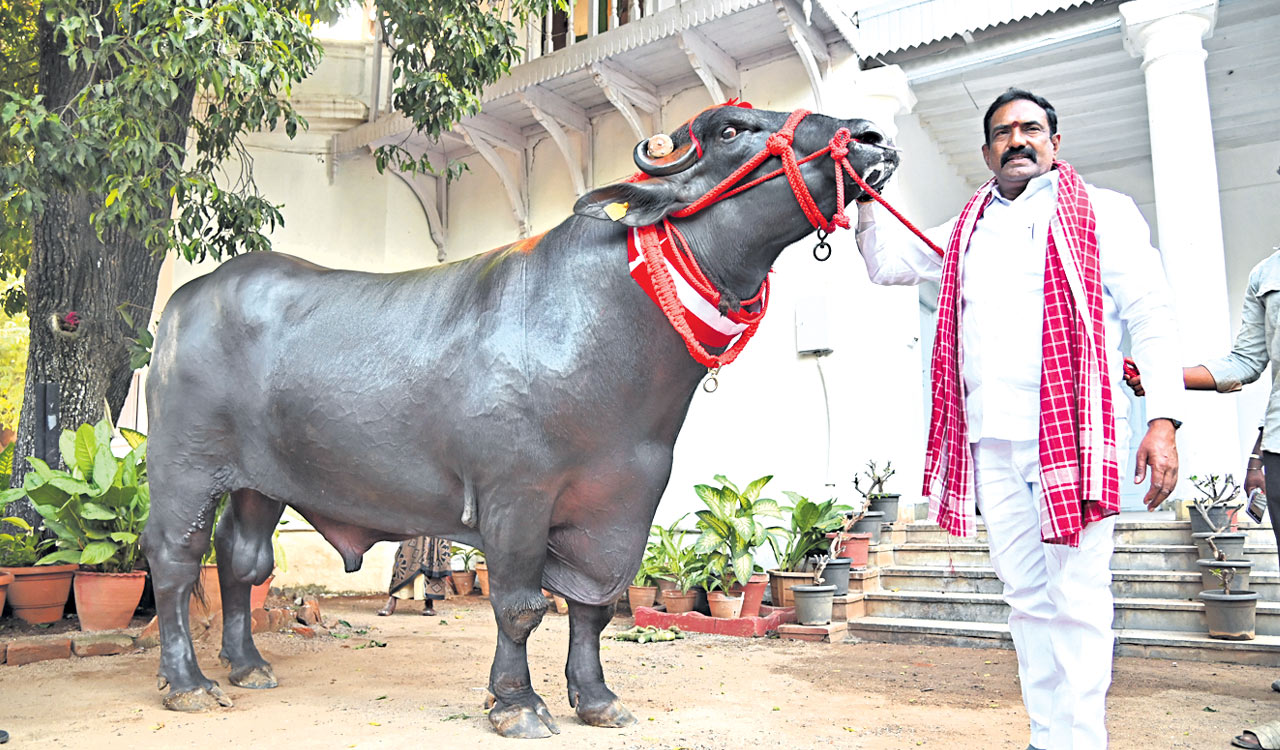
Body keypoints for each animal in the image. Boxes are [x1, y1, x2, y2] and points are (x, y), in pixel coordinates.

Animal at [140, 103, 899, 738]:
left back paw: (247, 664)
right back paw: (189, 683)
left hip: (257, 482)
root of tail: (183, 304)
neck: (612, 327)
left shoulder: (623, 503)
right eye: (732, 130)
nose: (870, 136)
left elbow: (595, 606)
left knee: (240, 557)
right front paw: (517, 703)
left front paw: (598, 699)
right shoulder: (516, 495)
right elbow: (521, 605)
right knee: (176, 558)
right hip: (184, 466)